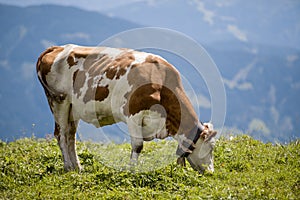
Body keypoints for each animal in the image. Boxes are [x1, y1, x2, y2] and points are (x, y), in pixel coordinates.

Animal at [36, 44, 217, 173]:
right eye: (211, 147)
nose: (211, 172)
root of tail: (57, 48)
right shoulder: (133, 113)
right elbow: (138, 145)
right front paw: (132, 170)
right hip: (58, 100)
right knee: (61, 134)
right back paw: (68, 166)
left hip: (73, 108)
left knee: (70, 135)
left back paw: (77, 167)